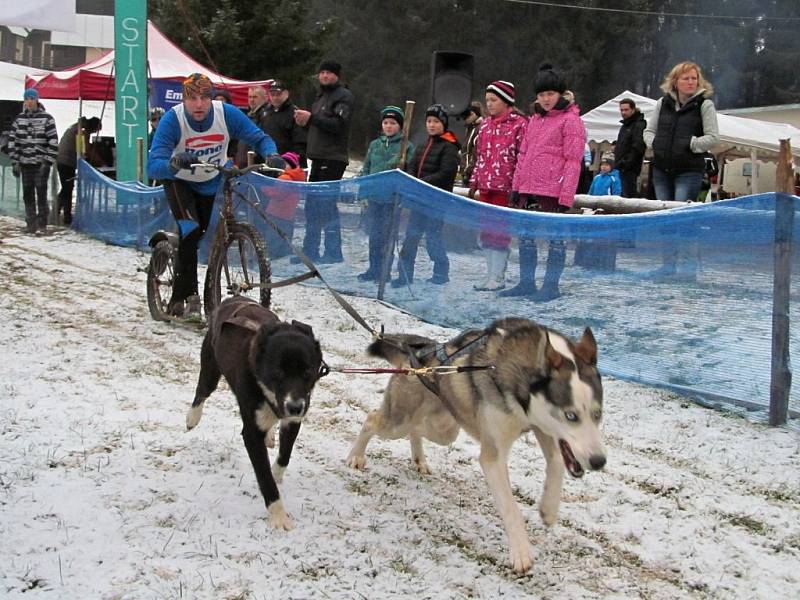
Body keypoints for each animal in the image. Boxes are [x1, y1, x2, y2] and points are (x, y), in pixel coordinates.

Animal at [188, 296, 324, 528]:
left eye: (307, 373)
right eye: (279, 372)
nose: (295, 407)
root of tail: (233, 298)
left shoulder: (292, 421)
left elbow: (285, 455)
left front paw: (277, 473)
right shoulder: (251, 434)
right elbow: (264, 477)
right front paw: (278, 516)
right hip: (211, 369)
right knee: (201, 392)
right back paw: (192, 418)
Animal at [346, 316, 608, 568]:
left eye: (597, 414)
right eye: (571, 415)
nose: (599, 461)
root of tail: (419, 356)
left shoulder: (543, 428)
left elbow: (556, 461)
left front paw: (549, 508)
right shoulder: (493, 456)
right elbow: (511, 507)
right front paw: (521, 554)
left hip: (444, 429)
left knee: (417, 429)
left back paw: (419, 458)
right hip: (399, 422)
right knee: (372, 420)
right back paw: (355, 456)